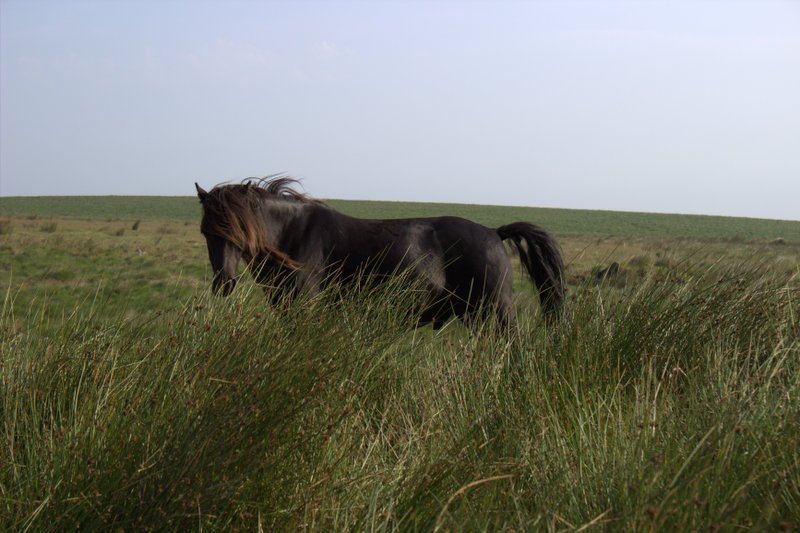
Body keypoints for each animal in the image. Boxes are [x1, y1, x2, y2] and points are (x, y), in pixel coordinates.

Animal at [196, 177, 564, 326]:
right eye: (206, 233)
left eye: (239, 233)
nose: (224, 283)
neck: (294, 235)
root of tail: (493, 233)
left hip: (497, 313)